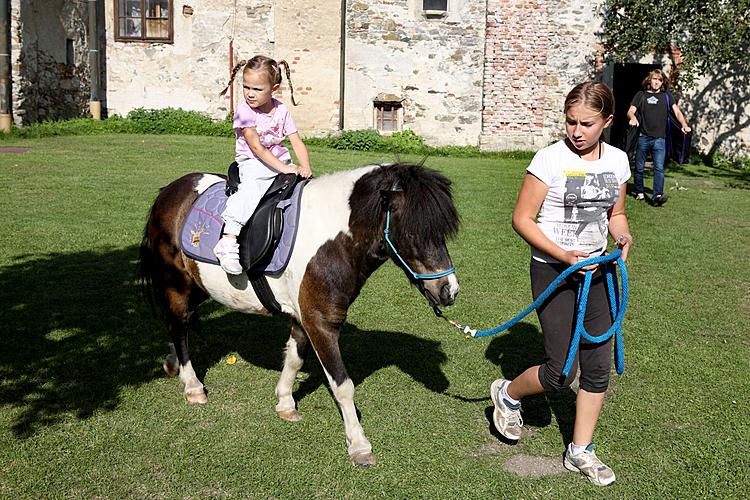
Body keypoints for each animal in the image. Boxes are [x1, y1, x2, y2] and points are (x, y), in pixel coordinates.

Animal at [138, 162, 462, 466]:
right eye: (412, 232)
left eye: (442, 233)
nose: (449, 290)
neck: (333, 241)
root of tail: (170, 190)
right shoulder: (321, 322)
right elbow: (343, 385)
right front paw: (359, 445)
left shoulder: (304, 317)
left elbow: (294, 359)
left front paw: (285, 403)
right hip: (177, 283)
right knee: (178, 324)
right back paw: (192, 385)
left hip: (198, 285)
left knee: (180, 322)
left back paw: (172, 362)